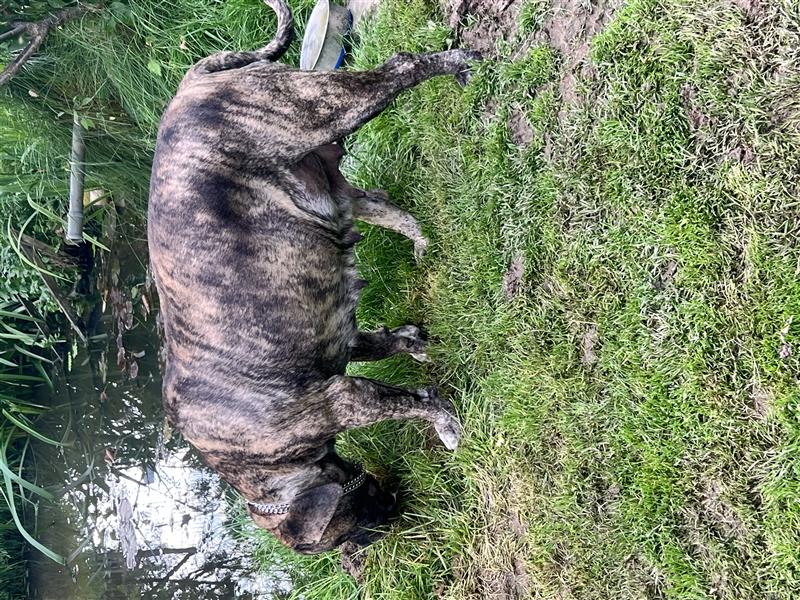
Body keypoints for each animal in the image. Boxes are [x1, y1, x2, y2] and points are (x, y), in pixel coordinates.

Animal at [148, 0, 478, 552]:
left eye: (337, 535)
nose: (363, 549)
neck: (256, 465)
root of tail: (190, 84)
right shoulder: (341, 343)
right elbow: (389, 343)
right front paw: (417, 344)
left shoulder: (343, 401)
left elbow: (416, 405)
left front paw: (446, 424)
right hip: (332, 181)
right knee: (384, 206)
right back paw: (420, 241)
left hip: (321, 110)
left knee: (402, 67)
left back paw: (457, 61)